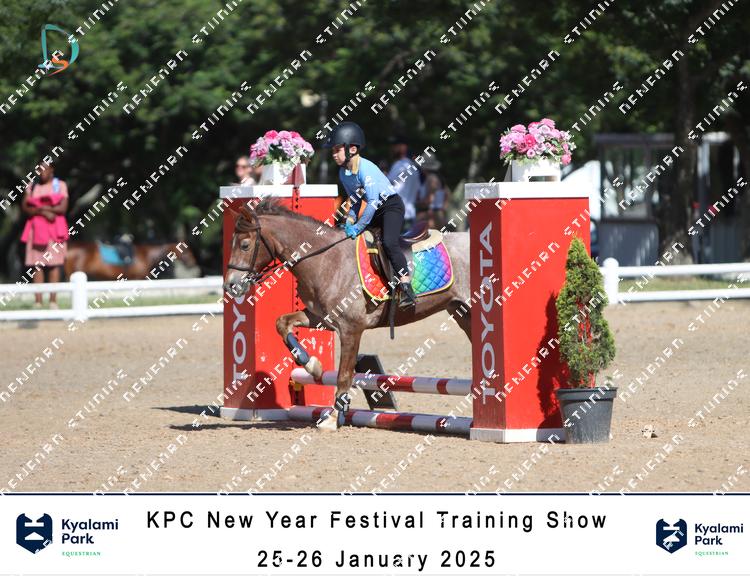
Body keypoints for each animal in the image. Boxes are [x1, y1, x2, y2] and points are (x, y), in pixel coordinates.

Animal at [223, 198, 471, 431]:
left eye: (244, 245)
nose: (230, 286)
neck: (325, 260)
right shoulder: (320, 318)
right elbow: (282, 323)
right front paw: (312, 366)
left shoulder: (351, 329)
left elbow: (344, 375)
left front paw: (333, 418)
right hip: (461, 313)